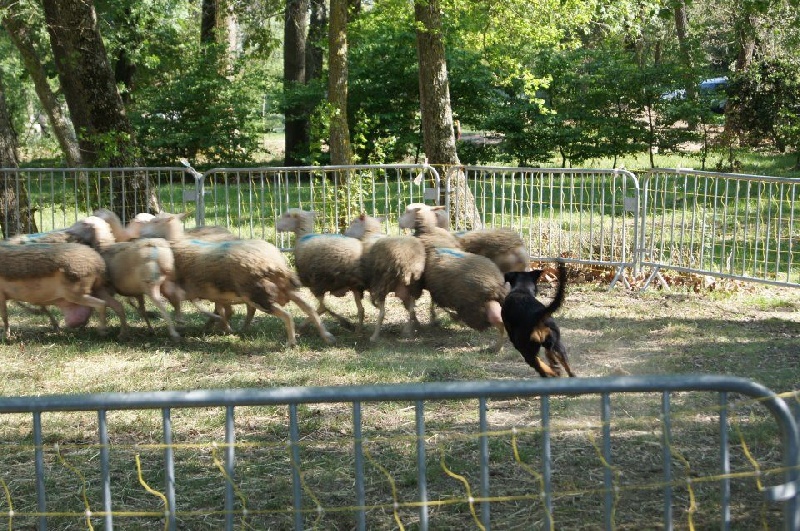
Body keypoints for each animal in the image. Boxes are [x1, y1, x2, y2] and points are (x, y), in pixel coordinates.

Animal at [0, 242, 128, 340]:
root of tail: (98, 264)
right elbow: (42, 308)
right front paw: (56, 328)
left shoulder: (1, 295)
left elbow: (4, 315)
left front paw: (6, 337)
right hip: (97, 289)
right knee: (118, 305)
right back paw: (121, 335)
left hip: (76, 293)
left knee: (101, 304)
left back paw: (102, 332)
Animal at [135, 214, 334, 348]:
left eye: (155, 221)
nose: (138, 232)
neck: (178, 242)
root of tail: (273, 262)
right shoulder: (213, 293)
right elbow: (222, 310)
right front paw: (221, 327)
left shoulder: (190, 290)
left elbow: (208, 309)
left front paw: (217, 326)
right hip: (282, 289)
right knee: (309, 308)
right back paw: (326, 335)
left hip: (257, 293)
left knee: (286, 315)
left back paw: (291, 342)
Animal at [346, 214, 428, 342]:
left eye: (354, 222)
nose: (344, 233)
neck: (369, 234)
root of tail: (407, 262)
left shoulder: (358, 285)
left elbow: (360, 309)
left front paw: (358, 330)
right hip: (412, 287)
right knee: (411, 310)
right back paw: (411, 331)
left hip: (382, 284)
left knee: (382, 313)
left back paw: (374, 337)